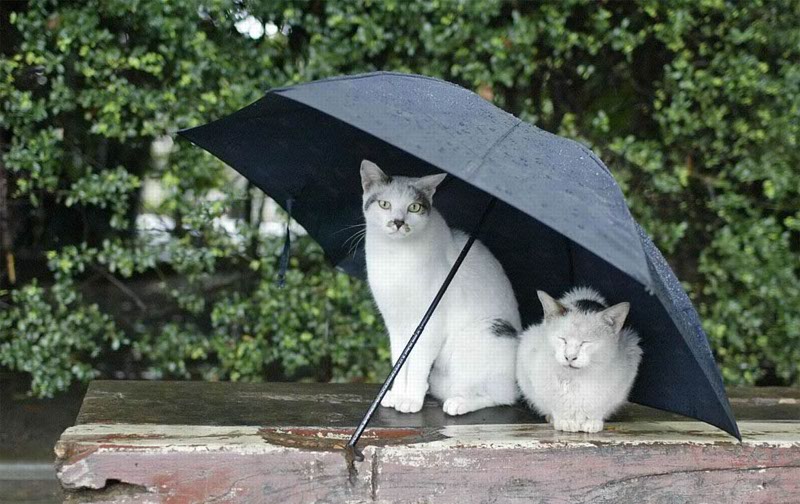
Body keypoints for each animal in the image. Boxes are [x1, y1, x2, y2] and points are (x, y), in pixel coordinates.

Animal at [360, 159, 520, 416]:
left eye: (414, 207)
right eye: (385, 204)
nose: (398, 222)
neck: (394, 257)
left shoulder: (429, 324)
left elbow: (417, 364)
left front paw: (410, 400)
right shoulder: (395, 324)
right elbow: (400, 360)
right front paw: (397, 394)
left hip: (482, 336)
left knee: (501, 396)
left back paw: (459, 402)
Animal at [516, 288, 640, 434]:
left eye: (585, 343)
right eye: (562, 339)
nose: (569, 357)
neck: (576, 378)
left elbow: (599, 406)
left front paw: (592, 422)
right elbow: (556, 402)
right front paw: (565, 421)